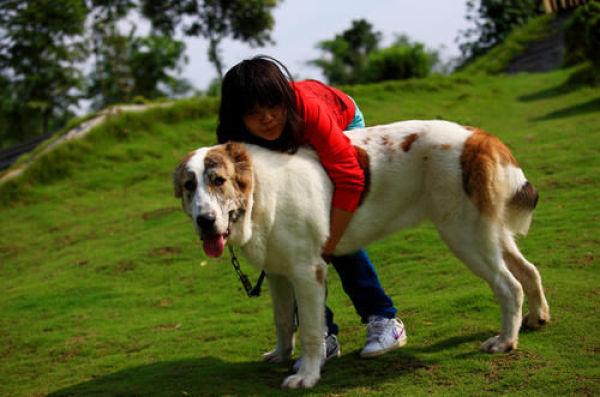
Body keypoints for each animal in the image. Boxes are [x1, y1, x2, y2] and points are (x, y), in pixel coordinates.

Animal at [172, 119, 548, 388]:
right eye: (190, 186)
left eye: (218, 181)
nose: (205, 221)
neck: (261, 192)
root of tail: (478, 136)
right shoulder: (279, 274)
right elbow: (282, 320)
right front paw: (280, 354)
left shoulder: (308, 273)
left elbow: (311, 330)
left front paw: (306, 376)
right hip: (489, 235)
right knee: (529, 270)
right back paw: (536, 318)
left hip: (465, 236)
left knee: (509, 285)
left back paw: (505, 341)